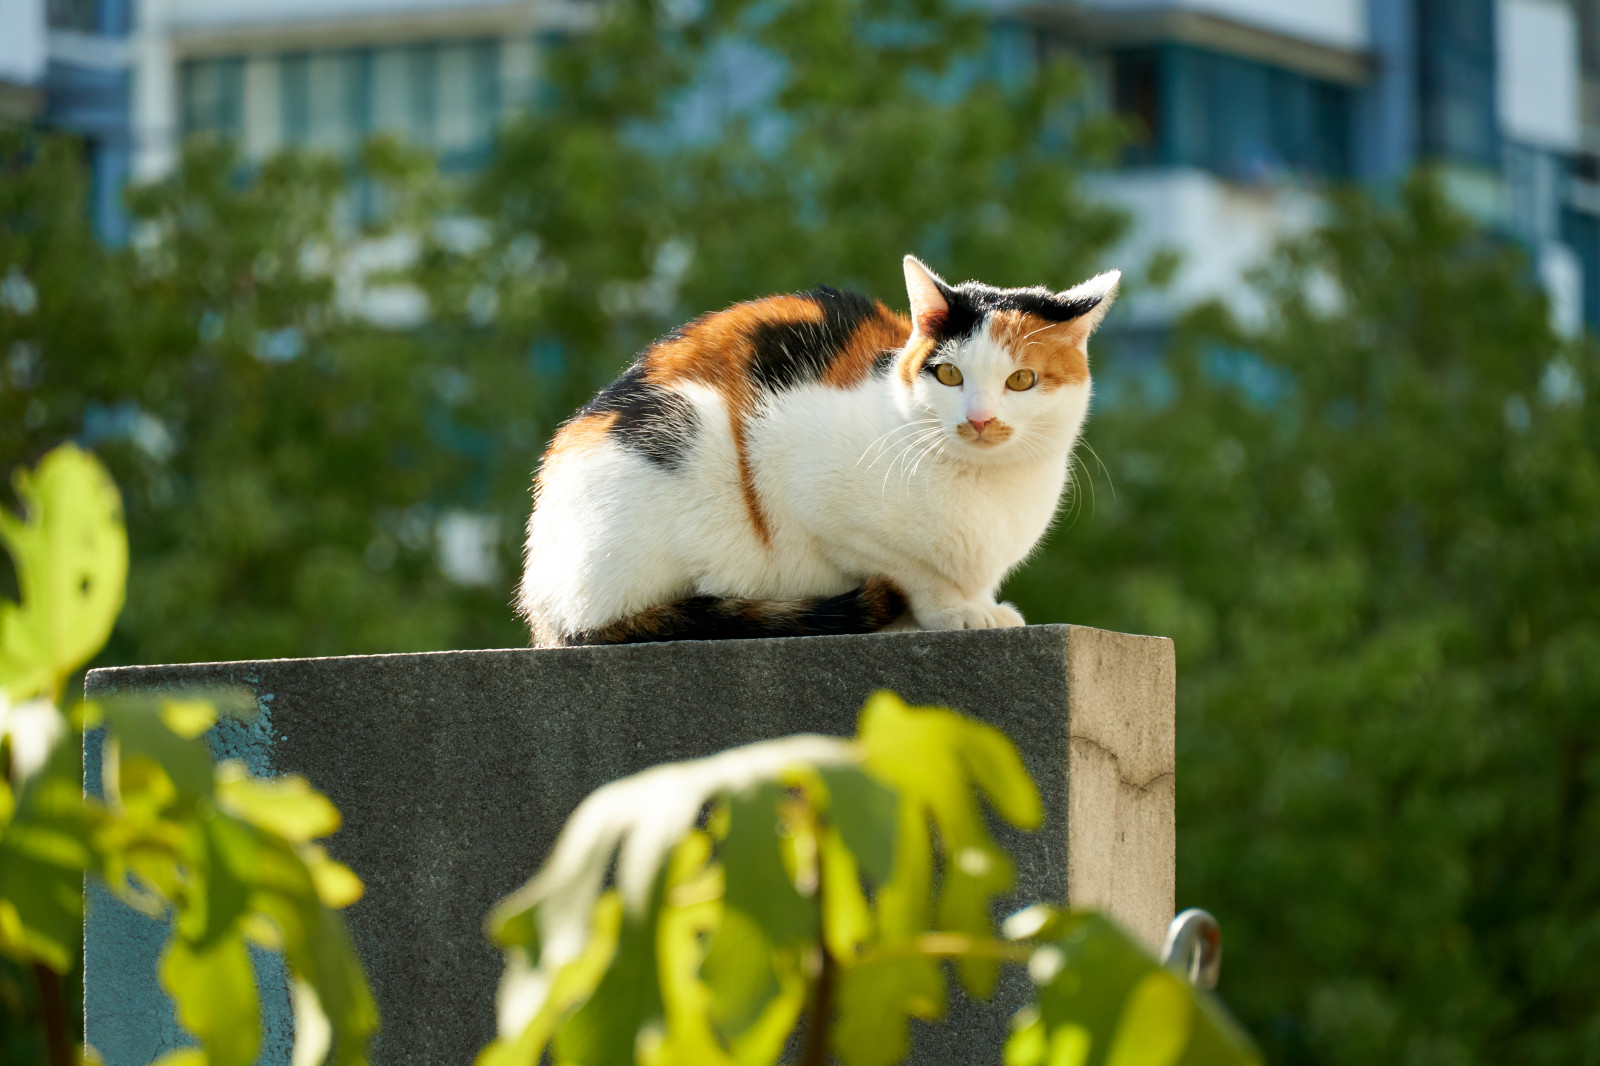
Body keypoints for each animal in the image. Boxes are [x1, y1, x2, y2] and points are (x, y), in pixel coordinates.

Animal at [518, 252, 1120, 643]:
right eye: (949, 374)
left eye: (1021, 381)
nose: (979, 419)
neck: (987, 487)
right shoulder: (817, 497)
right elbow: (908, 569)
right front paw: (955, 611)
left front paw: (981, 606)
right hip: (686, 429)